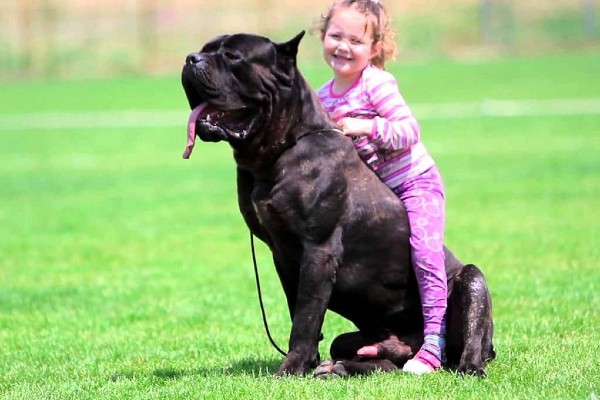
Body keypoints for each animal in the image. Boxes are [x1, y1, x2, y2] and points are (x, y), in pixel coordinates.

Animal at [180, 32, 494, 378]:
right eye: (206, 49)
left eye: (233, 57)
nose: (191, 58)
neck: (282, 149)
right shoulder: (283, 256)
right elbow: (300, 311)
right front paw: (307, 363)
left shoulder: (319, 251)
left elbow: (305, 317)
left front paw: (291, 368)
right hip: (361, 340)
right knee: (377, 359)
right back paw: (339, 367)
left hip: (471, 281)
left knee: (468, 339)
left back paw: (465, 365)